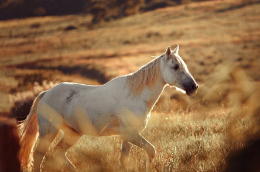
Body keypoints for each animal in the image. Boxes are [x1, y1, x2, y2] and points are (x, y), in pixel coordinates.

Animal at [18, 45, 198, 171]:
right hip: (49, 131)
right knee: (39, 155)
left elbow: (124, 161)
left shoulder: (127, 136)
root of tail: (46, 93)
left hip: (72, 134)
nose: (194, 87)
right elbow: (151, 150)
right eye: (175, 66)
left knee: (58, 153)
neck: (135, 95)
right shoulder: (131, 134)